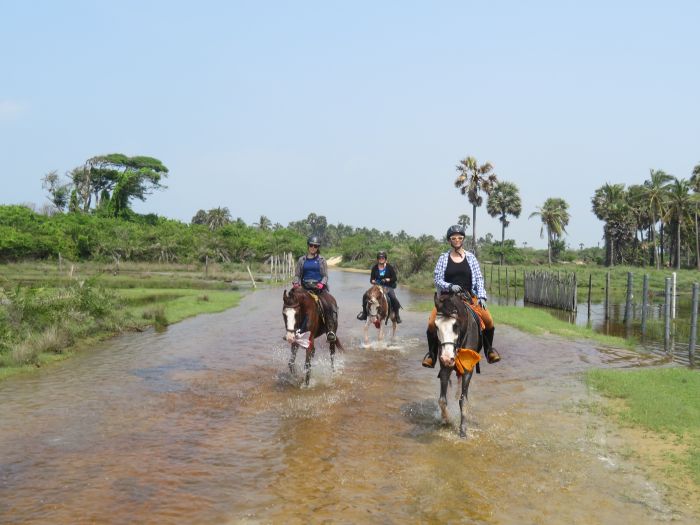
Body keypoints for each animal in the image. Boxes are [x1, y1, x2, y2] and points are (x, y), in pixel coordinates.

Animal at [432, 292, 482, 436]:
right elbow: (442, 400)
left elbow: (463, 400)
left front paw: (463, 429)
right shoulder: (444, 368)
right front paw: (446, 420)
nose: (447, 358)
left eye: (455, 325)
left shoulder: (468, 370)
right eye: (436, 326)